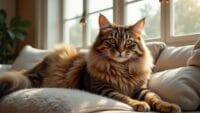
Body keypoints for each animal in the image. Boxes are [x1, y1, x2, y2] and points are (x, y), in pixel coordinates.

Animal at [0, 14, 181, 112]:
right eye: (112, 41)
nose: (121, 51)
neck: (121, 68)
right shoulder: (103, 88)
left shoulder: (140, 88)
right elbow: (124, 97)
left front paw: (169, 106)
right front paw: (139, 104)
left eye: (129, 43)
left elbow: (154, 97)